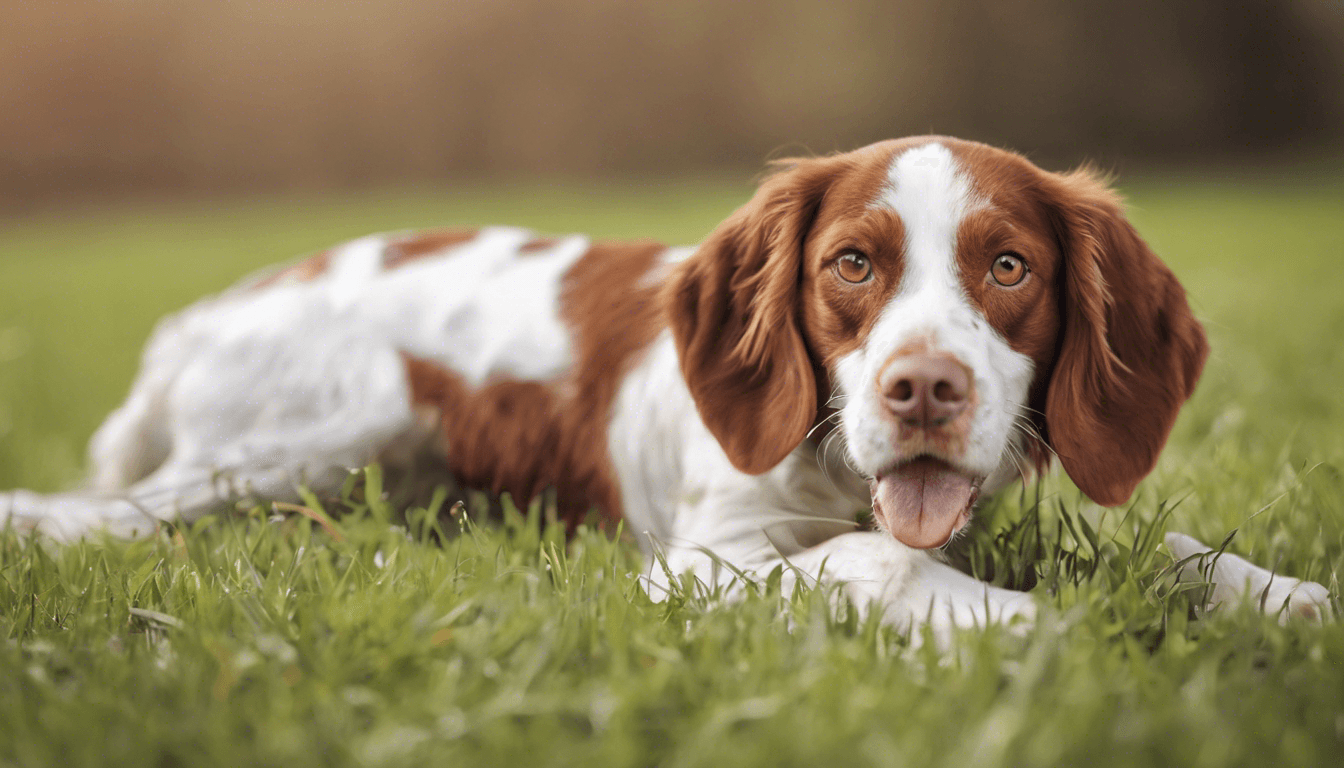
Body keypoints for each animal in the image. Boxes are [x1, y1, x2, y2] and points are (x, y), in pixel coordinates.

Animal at [0, 136, 1327, 637]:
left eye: (1009, 267)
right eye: (853, 264)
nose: (924, 390)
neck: (833, 470)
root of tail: (196, 315)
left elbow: (1170, 550)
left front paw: (1283, 600)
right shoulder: (703, 563)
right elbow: (884, 561)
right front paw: (1030, 628)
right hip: (324, 427)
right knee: (74, 517)